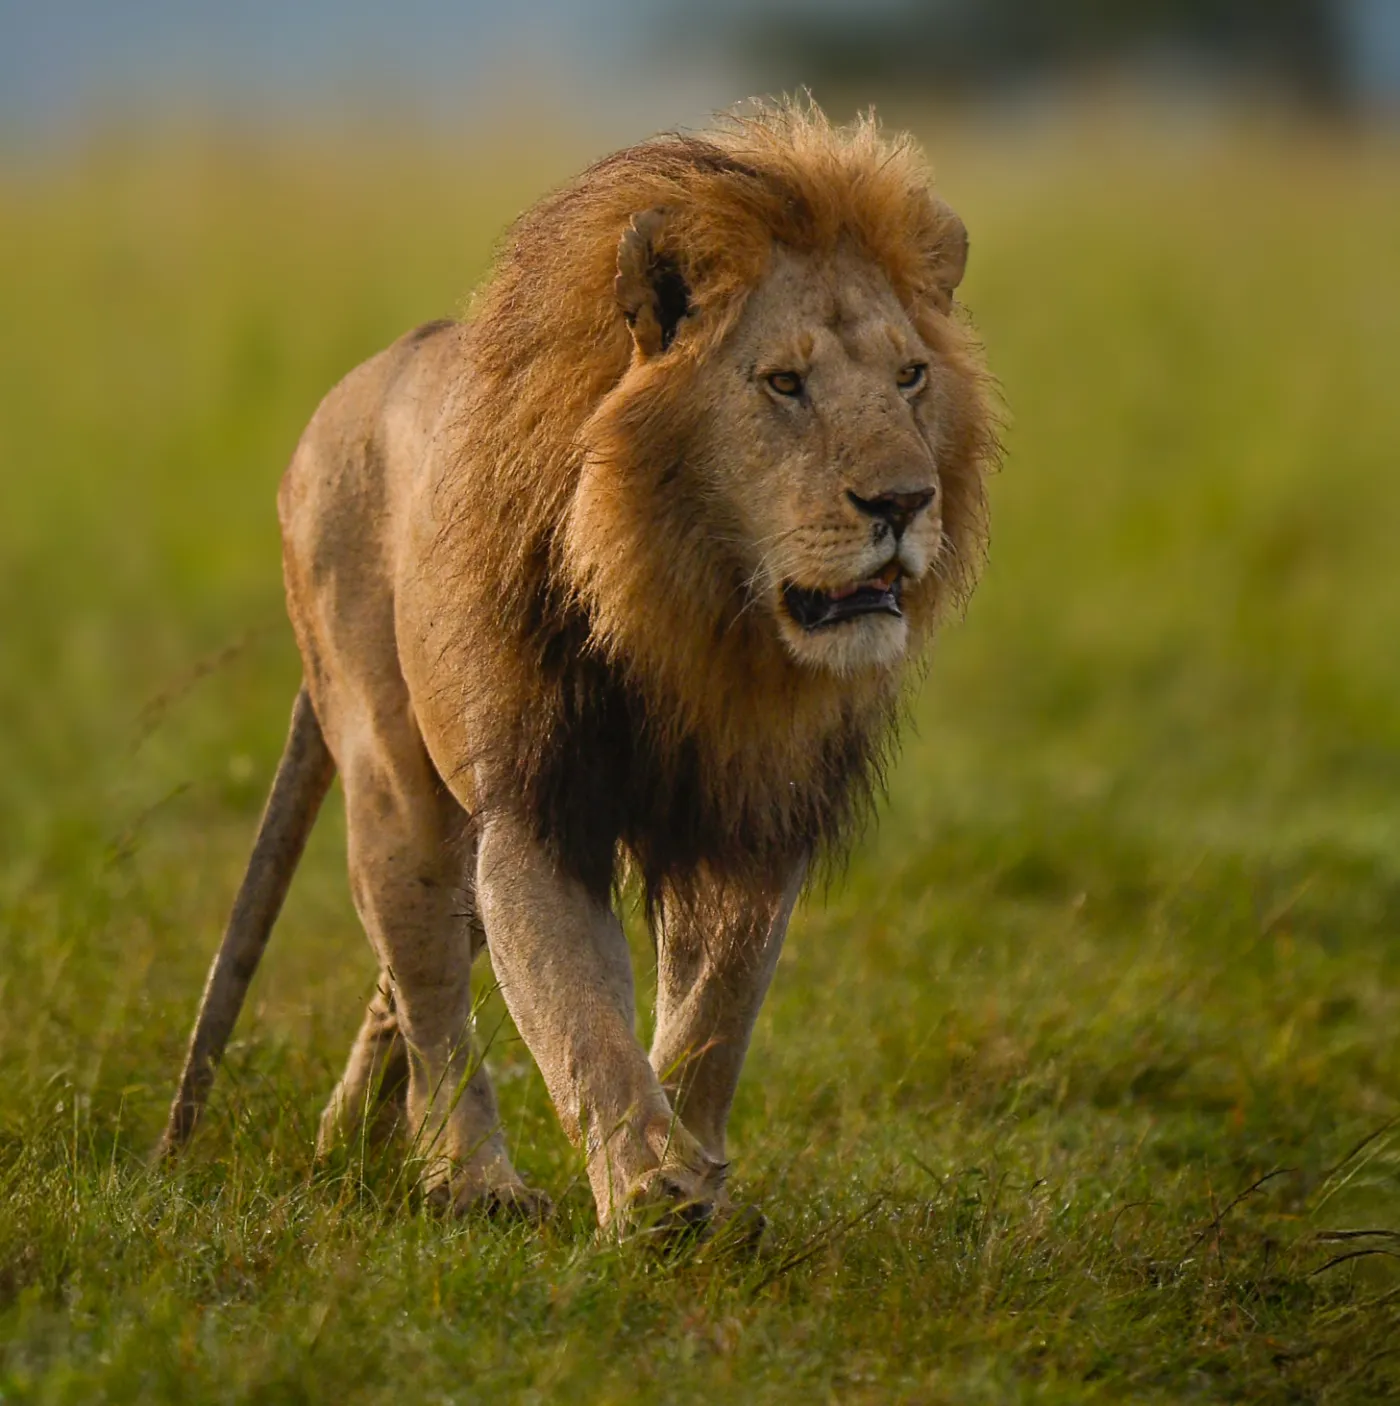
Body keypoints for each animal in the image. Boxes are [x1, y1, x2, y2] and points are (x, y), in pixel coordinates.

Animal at [158, 101, 999, 1235]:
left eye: (911, 377)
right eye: (783, 383)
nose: (904, 502)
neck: (701, 616)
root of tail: (343, 397)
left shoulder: (748, 819)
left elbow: (711, 1016)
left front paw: (701, 1179)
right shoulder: (541, 805)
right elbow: (578, 1016)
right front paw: (652, 1198)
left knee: (406, 981)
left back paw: (349, 1138)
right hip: (393, 775)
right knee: (428, 989)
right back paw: (470, 1180)